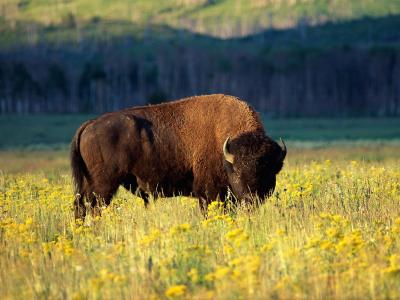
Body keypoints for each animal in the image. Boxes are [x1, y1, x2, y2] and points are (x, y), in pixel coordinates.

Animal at [71, 94, 284, 220]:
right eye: (237, 171)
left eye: (267, 172)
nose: (250, 200)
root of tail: (90, 124)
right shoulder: (209, 193)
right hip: (103, 185)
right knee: (94, 207)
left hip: (89, 183)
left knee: (81, 206)